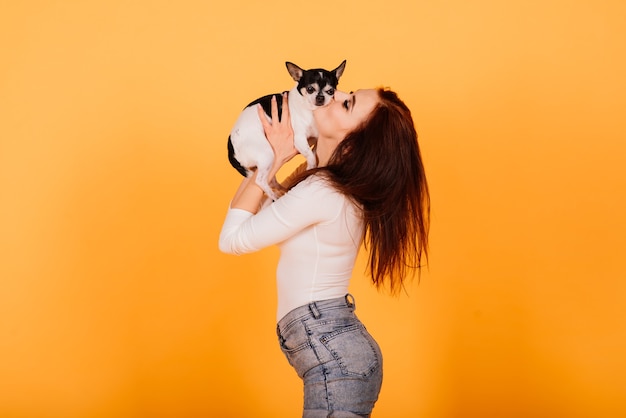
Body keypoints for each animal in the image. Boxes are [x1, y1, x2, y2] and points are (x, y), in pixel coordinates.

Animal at [225, 60, 344, 201]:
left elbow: (314, 150)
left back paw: (281, 188)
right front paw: (310, 167)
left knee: (269, 180)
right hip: (267, 154)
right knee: (260, 180)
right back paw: (273, 195)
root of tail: (231, 147)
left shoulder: (316, 137)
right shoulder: (299, 139)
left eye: (330, 91)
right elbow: (310, 156)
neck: (311, 110)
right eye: (310, 89)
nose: (320, 98)